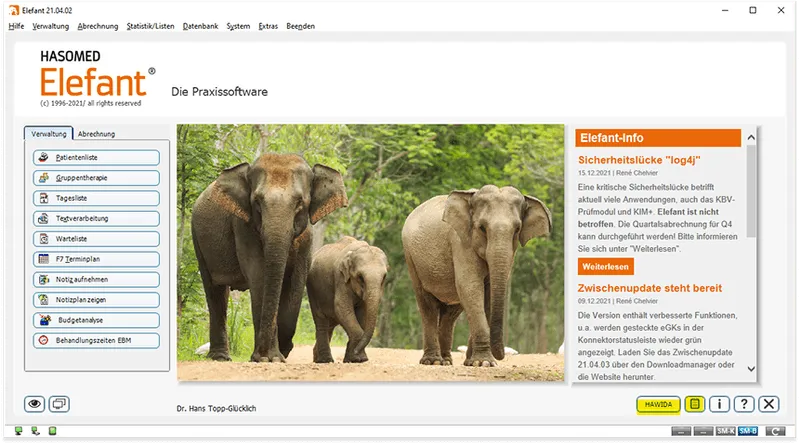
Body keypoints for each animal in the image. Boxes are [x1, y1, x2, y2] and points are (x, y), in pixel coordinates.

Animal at [191, 153, 348, 363]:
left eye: (300, 202)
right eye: (257, 202)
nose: (260, 354)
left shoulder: (307, 237)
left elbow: (297, 281)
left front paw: (282, 352)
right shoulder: (243, 227)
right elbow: (259, 275)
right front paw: (269, 358)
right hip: (198, 239)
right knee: (215, 291)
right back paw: (220, 358)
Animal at [401, 185, 551, 367]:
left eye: (517, 229)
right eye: (482, 228)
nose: (503, 355)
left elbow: (487, 294)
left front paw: (475, 362)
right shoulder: (460, 242)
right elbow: (470, 286)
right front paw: (483, 363)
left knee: (450, 313)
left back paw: (447, 361)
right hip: (411, 258)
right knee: (427, 304)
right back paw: (433, 361)